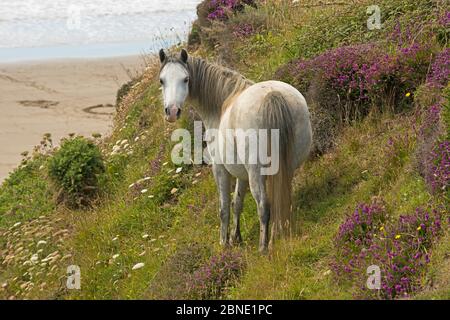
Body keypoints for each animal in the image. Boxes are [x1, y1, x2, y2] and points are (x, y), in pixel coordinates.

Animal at [159, 48, 312, 252]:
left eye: (185, 79)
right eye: (162, 80)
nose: (172, 111)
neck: (221, 105)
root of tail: (272, 95)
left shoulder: (220, 169)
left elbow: (224, 208)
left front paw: (224, 242)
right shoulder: (242, 174)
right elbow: (237, 203)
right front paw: (235, 237)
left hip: (256, 173)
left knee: (263, 206)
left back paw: (264, 246)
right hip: (287, 167)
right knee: (282, 197)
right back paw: (278, 235)